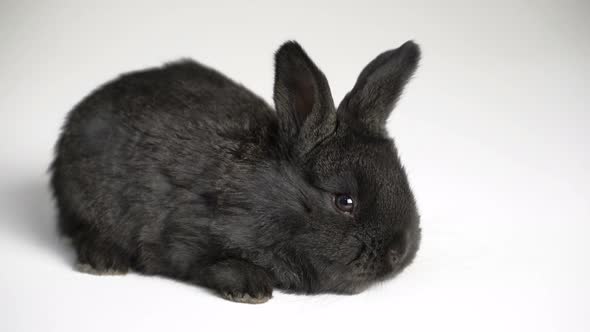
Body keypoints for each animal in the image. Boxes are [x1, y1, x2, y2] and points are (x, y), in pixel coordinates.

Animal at [49, 40, 420, 304]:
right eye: (344, 201)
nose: (398, 252)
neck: (274, 195)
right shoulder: (187, 238)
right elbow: (215, 264)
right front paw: (251, 288)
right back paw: (104, 262)